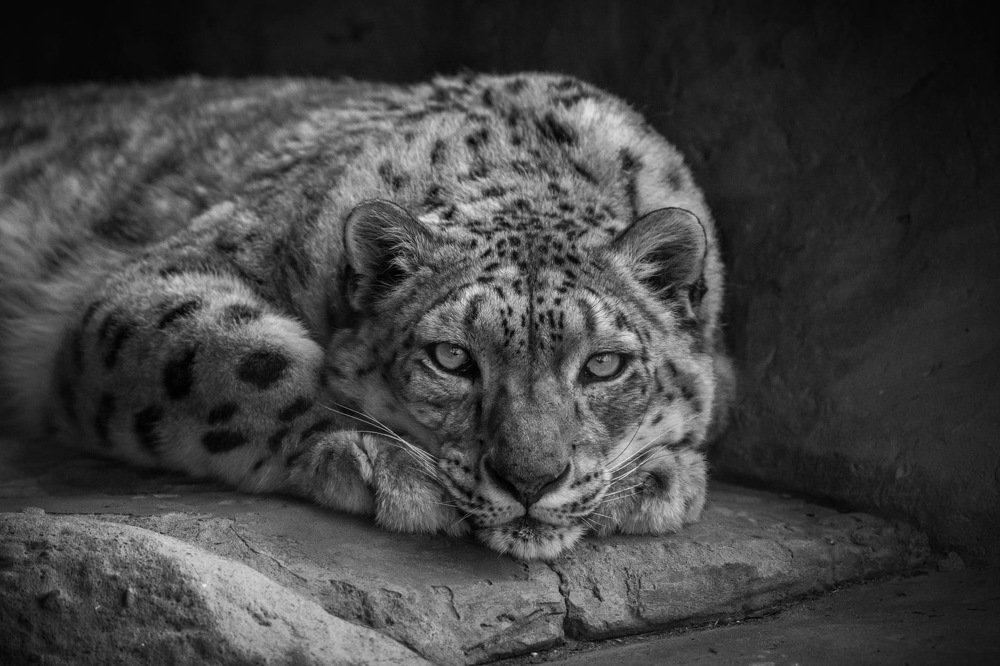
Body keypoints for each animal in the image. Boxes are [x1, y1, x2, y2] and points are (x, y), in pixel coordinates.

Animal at [0, 73, 735, 560]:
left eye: (603, 365)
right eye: (452, 358)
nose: (530, 479)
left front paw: (654, 475)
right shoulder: (155, 284)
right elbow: (251, 363)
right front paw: (390, 464)